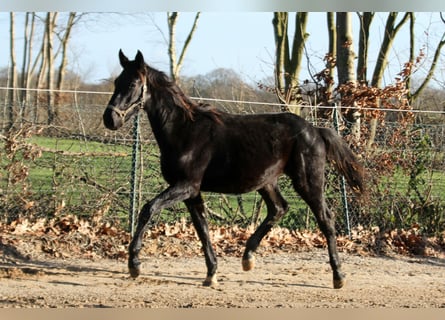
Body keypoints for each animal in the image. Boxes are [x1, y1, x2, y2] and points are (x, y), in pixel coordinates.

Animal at [104, 50, 364, 290]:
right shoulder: (192, 192)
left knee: (325, 219)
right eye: (117, 82)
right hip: (266, 182)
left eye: (133, 83)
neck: (184, 131)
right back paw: (248, 257)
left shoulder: (186, 186)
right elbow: (202, 228)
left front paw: (134, 264)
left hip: (308, 182)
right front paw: (211, 274)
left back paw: (338, 276)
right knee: (279, 208)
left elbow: (148, 209)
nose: (110, 119)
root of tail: (316, 130)